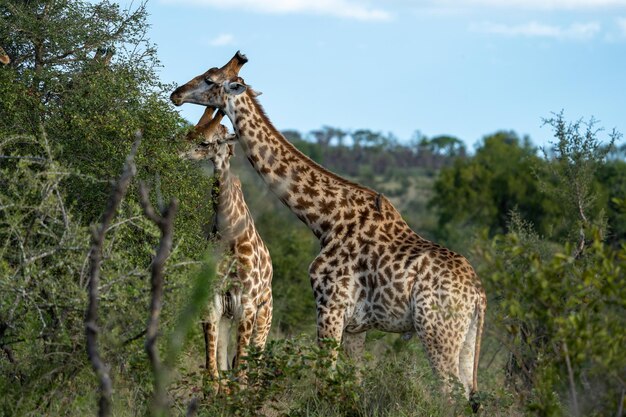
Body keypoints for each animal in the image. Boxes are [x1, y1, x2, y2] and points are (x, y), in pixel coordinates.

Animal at [182, 108, 274, 390]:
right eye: (188, 133)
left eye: (205, 142)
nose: (177, 152)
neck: (229, 232)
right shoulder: (212, 301)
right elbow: (213, 374)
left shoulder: (247, 305)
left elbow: (239, 374)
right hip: (227, 316)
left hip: (264, 317)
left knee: (254, 369)